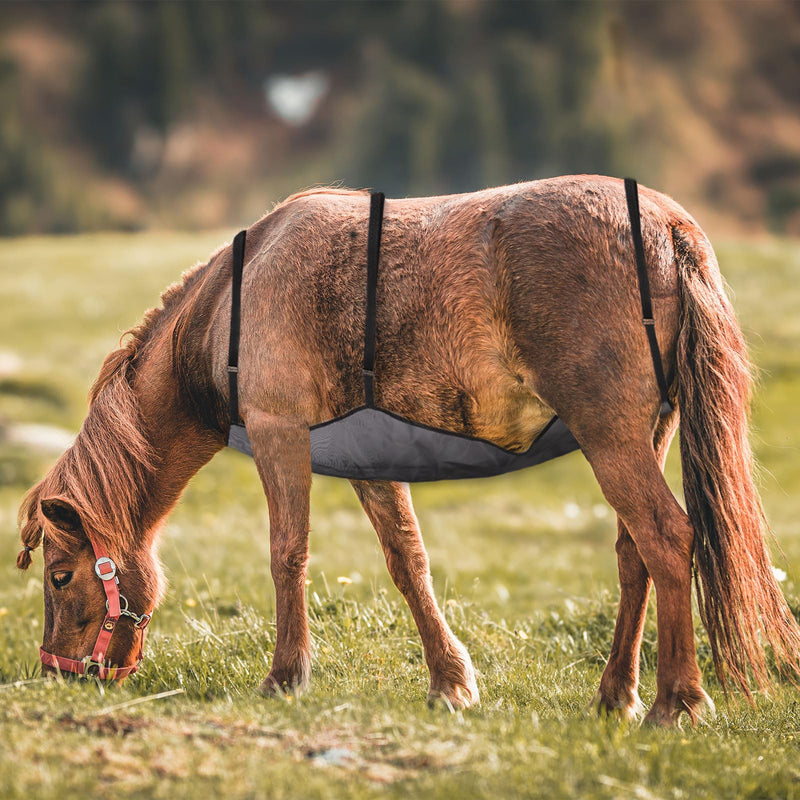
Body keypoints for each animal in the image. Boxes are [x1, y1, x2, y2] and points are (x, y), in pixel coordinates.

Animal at [16, 174, 800, 726]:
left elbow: (287, 552)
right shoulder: (372, 464)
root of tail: (667, 226)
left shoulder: (277, 432)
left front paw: (286, 675)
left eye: (60, 576)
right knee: (635, 552)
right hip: (645, 434)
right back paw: (617, 696)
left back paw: (677, 701)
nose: (56, 673)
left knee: (668, 539)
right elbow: (408, 563)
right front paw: (450, 681)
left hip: (610, 435)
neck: (232, 305)